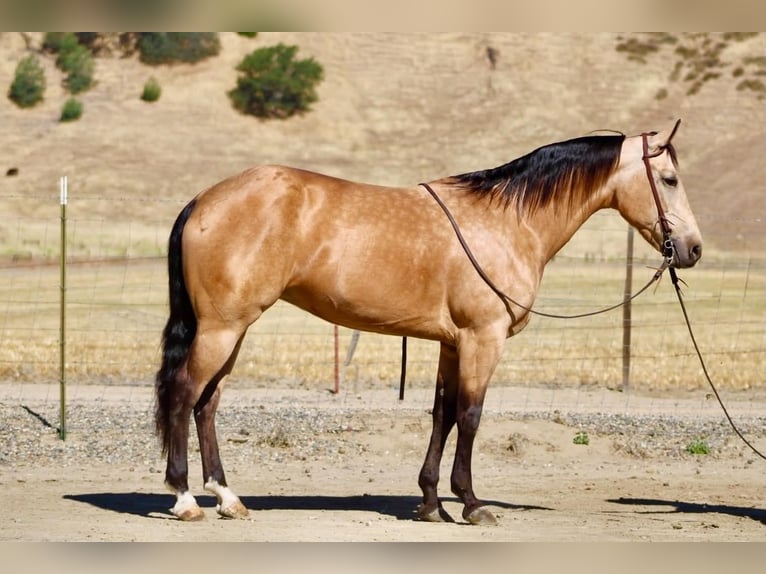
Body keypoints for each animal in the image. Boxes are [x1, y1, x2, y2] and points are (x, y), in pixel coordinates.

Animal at [155, 120, 702, 524]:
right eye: (670, 180)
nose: (693, 249)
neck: (507, 221)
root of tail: (204, 199)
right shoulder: (483, 339)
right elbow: (472, 415)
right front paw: (473, 504)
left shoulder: (452, 344)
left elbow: (443, 414)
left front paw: (431, 502)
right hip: (222, 328)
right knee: (184, 396)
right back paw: (184, 499)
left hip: (232, 331)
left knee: (207, 404)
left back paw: (227, 498)